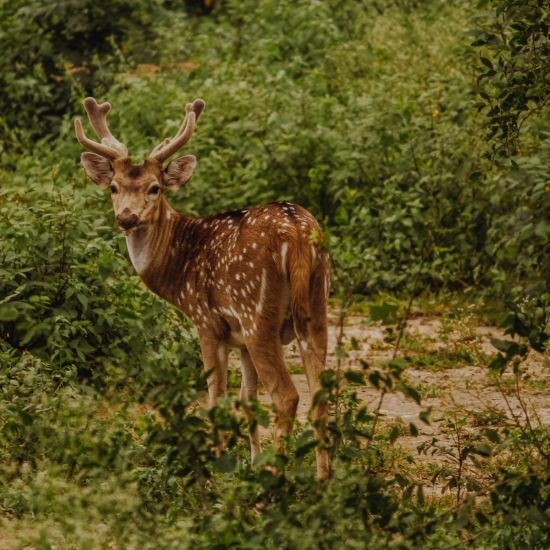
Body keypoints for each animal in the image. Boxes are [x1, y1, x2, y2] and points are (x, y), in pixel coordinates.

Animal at [73, 97, 332, 480]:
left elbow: (216, 399)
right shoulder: (239, 340)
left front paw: (219, 469)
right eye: (113, 187)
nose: (127, 217)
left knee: (286, 396)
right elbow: (248, 400)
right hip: (315, 309)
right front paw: (250, 463)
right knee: (320, 393)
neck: (179, 268)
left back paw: (275, 480)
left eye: (155, 187)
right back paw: (323, 479)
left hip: (257, 312)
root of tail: (298, 234)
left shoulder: (208, 323)